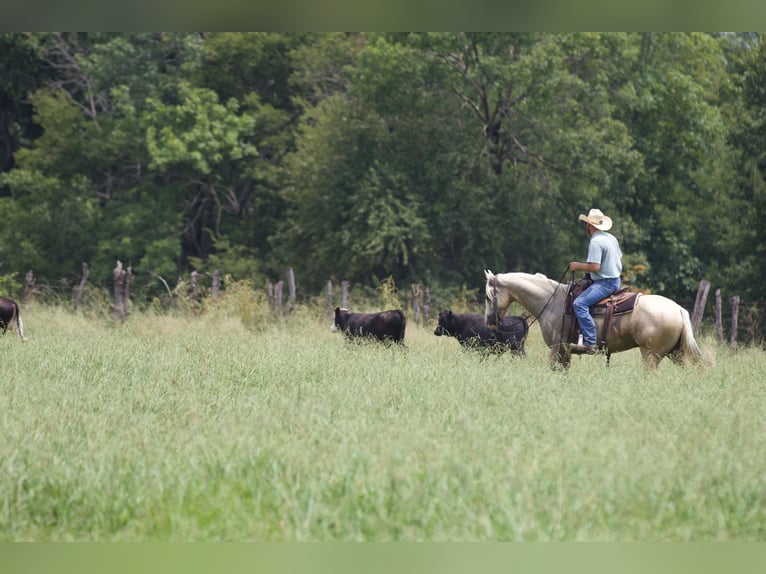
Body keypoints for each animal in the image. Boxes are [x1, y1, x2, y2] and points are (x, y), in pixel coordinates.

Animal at [486, 272, 708, 372]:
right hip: (676, 353)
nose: (489, 322)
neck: (553, 301)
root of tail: (678, 309)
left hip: (651, 355)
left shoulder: (556, 347)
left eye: (488, 297)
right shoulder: (565, 351)